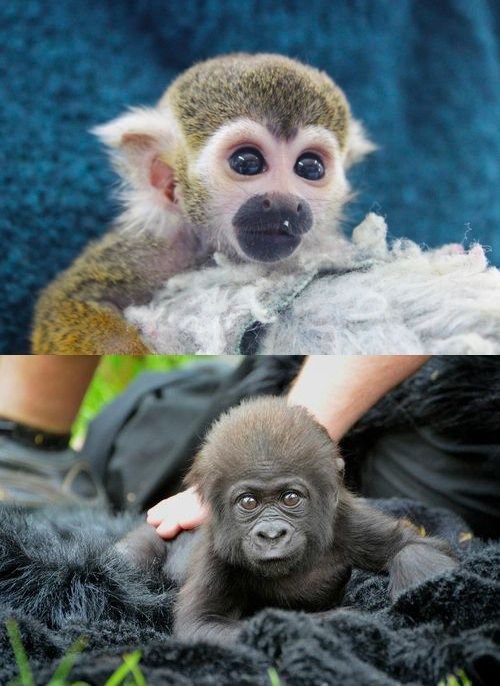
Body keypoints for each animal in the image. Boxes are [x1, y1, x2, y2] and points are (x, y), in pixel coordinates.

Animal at [117, 397, 457, 645]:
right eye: (249, 502)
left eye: (290, 498)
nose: (271, 534)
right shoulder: (216, 553)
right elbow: (202, 624)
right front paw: (337, 620)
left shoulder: (347, 522)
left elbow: (412, 545)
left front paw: (420, 585)